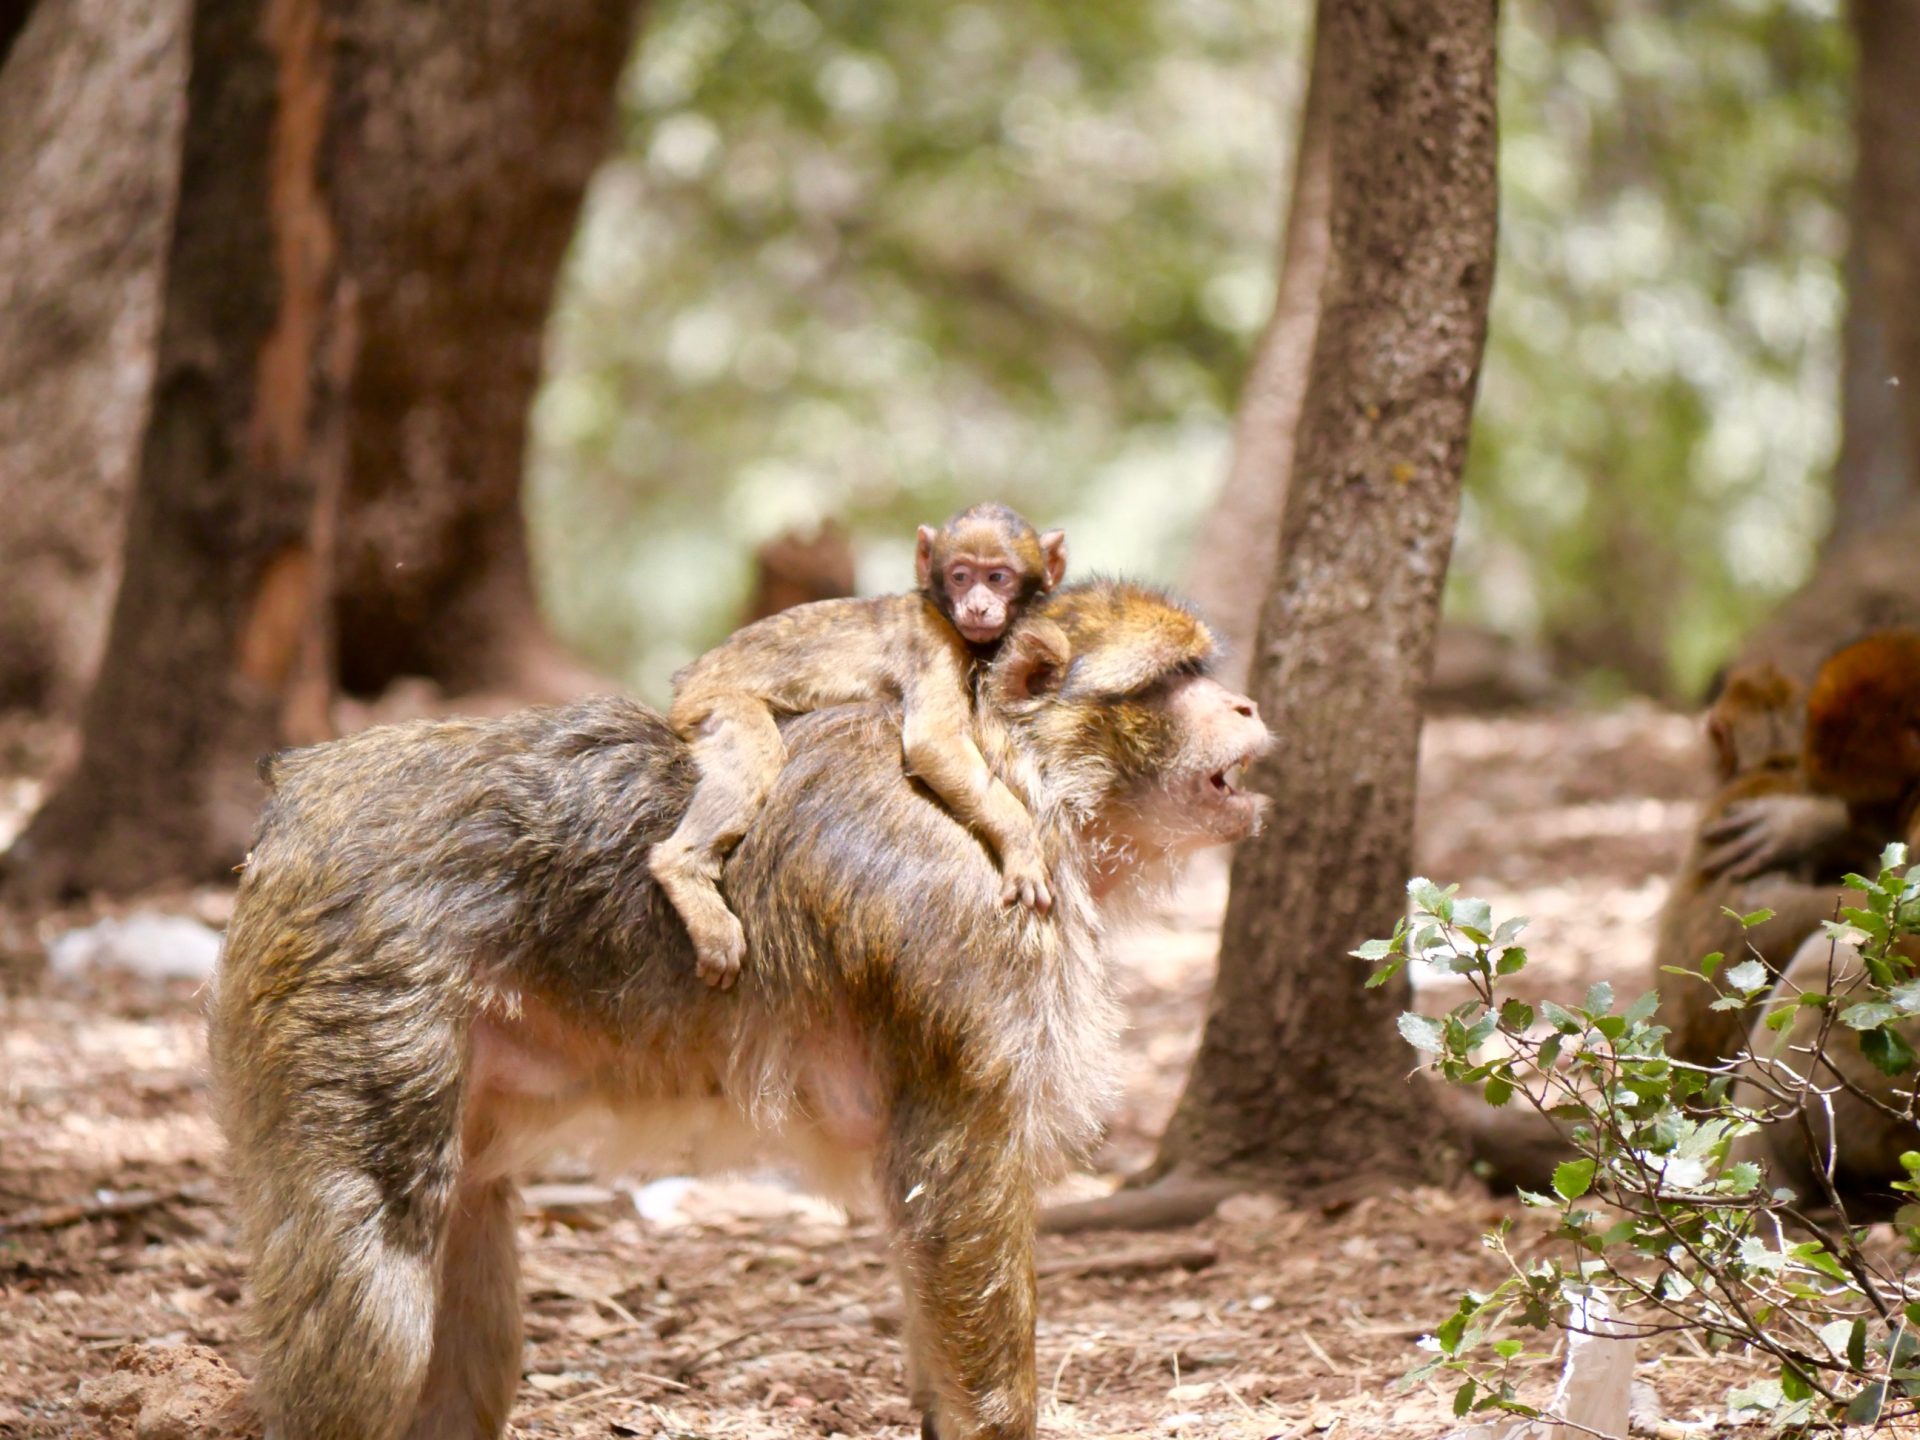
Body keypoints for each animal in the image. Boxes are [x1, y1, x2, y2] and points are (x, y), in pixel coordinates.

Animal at [645, 503, 1067, 990]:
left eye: (997, 577)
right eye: (961, 576)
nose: (977, 605)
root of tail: (691, 676)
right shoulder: (933, 640)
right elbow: (933, 742)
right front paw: (1022, 846)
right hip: (714, 700)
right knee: (759, 755)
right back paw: (681, 870)